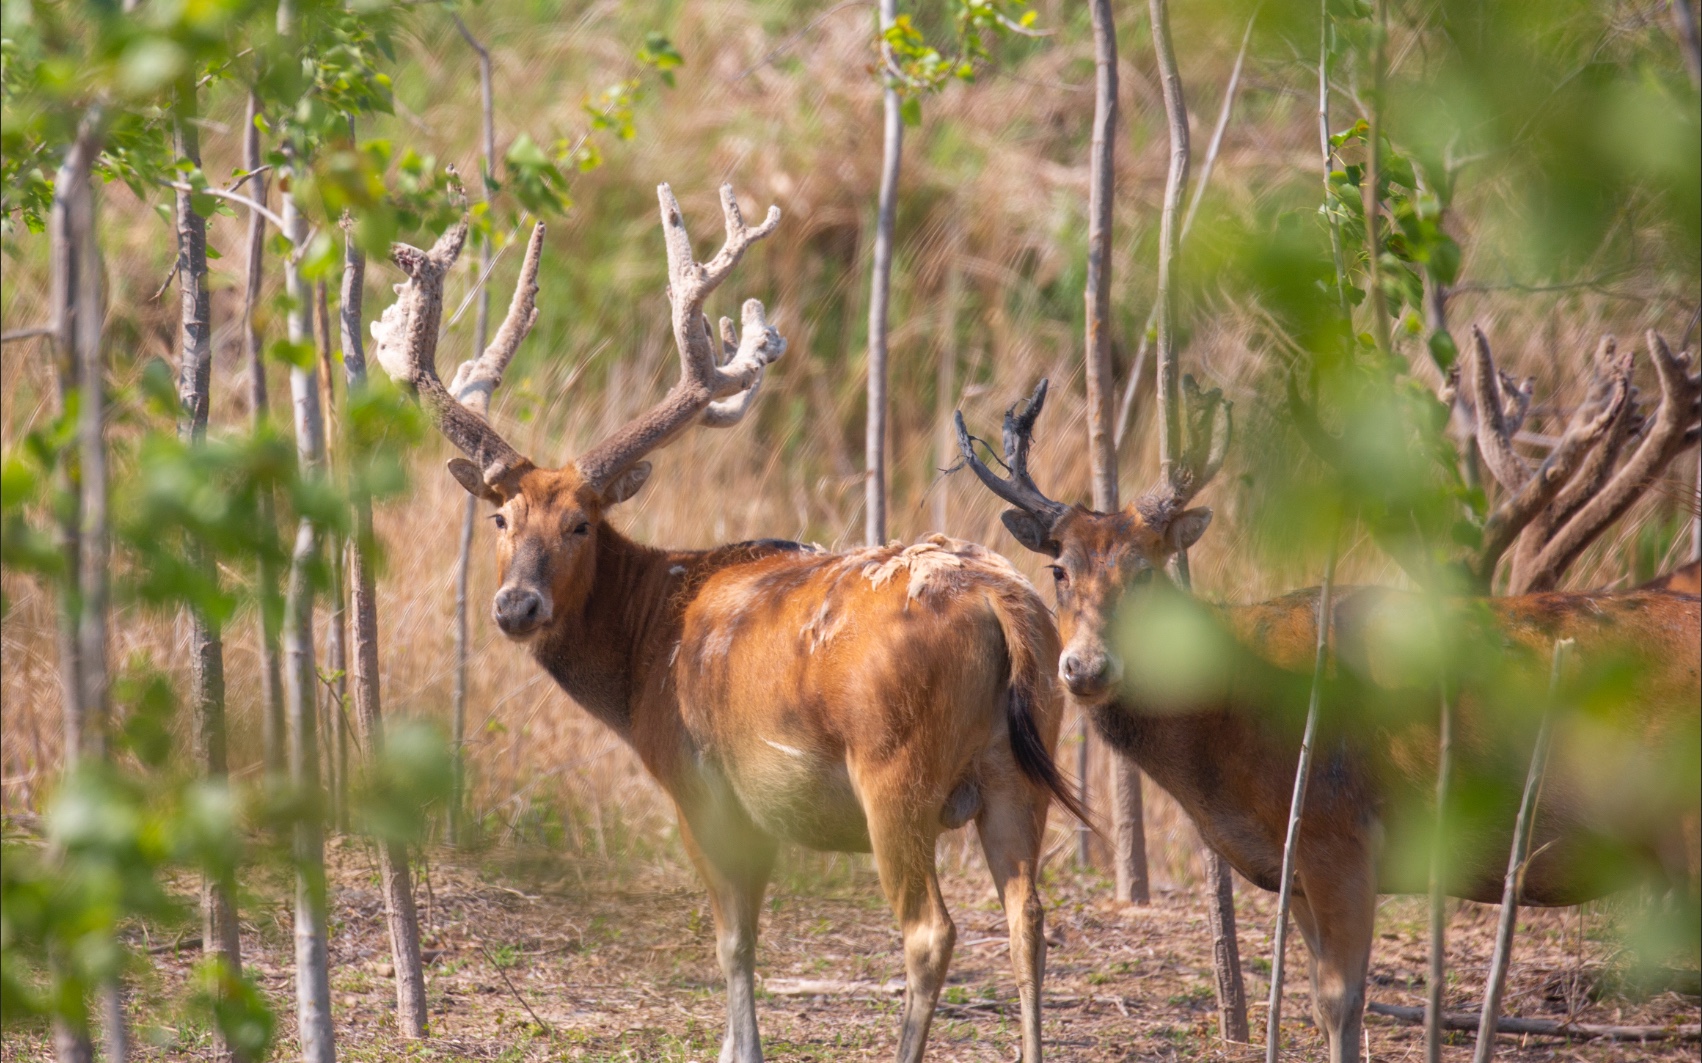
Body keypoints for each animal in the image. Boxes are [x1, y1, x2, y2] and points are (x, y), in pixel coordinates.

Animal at [379, 181, 1082, 1061]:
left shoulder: (701, 784)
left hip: (895, 767)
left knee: (930, 930)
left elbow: (733, 941)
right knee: (1029, 920)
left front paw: (739, 1044)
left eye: (581, 523)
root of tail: (1000, 601)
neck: (645, 644)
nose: (516, 605)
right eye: (502, 517)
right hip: (1022, 761)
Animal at [959, 367, 1702, 1061]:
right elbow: (1322, 999)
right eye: (1059, 568)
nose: (1086, 667)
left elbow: (1343, 1000)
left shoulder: (1334, 828)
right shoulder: (1294, 863)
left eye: (1146, 570)